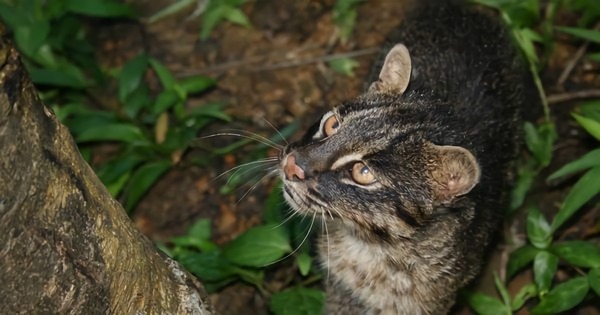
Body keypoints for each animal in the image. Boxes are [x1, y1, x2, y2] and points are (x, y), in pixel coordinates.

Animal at [276, 1, 528, 314]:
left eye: (363, 172)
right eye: (332, 124)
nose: (292, 165)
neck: (370, 247)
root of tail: (467, 9)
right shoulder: (340, 290)